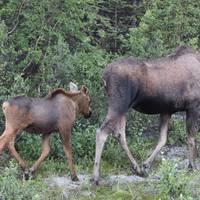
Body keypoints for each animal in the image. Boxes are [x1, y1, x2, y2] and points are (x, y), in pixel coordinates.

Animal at [93, 45, 200, 184]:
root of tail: (105, 75)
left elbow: (162, 140)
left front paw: (145, 165)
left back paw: (137, 167)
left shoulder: (167, 110)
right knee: (102, 132)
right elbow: (191, 138)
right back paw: (95, 176)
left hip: (123, 108)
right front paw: (192, 166)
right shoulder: (193, 106)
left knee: (119, 134)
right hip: (118, 104)